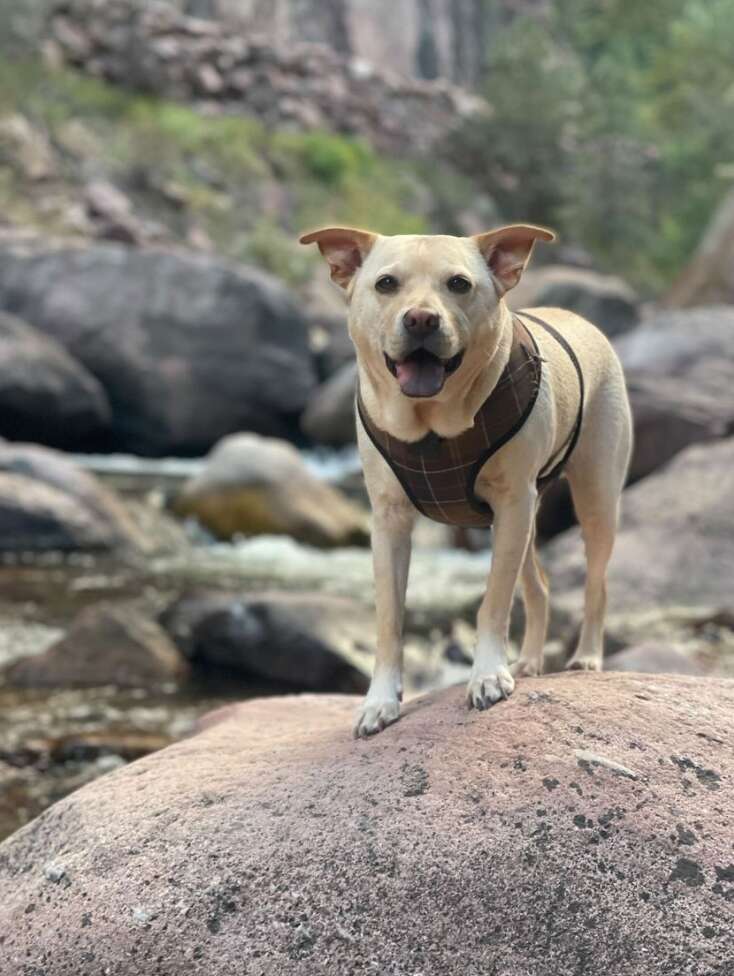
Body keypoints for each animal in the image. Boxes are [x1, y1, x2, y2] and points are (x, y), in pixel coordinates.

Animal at [302, 225, 636, 736]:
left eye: (459, 284)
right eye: (385, 284)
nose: (421, 319)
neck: (431, 428)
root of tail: (580, 319)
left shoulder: (512, 506)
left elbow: (493, 601)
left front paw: (487, 675)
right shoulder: (389, 520)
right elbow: (389, 618)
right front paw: (380, 700)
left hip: (594, 497)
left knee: (596, 583)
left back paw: (586, 657)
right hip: (527, 520)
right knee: (538, 587)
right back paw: (531, 661)